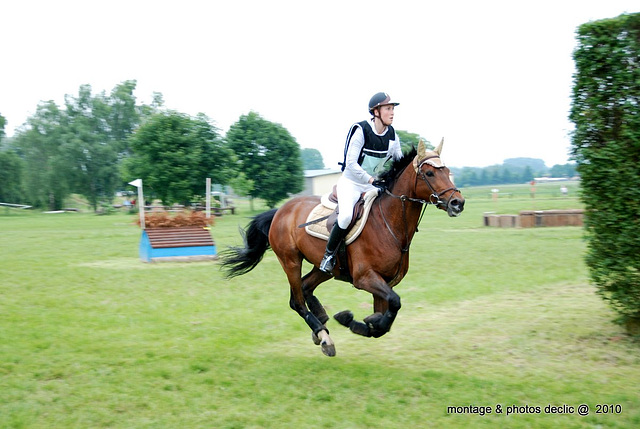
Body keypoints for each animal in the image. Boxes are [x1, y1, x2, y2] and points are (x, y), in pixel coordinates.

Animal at [221, 140, 464, 354]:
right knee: (296, 301)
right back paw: (323, 336)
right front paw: (352, 320)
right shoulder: (365, 278)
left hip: (324, 268)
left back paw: (320, 324)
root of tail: (281, 210)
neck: (389, 223)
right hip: (290, 261)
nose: (458, 203)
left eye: (447, 171)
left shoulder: (384, 282)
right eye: (430, 174)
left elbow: (383, 321)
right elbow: (394, 303)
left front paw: (365, 322)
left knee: (306, 286)